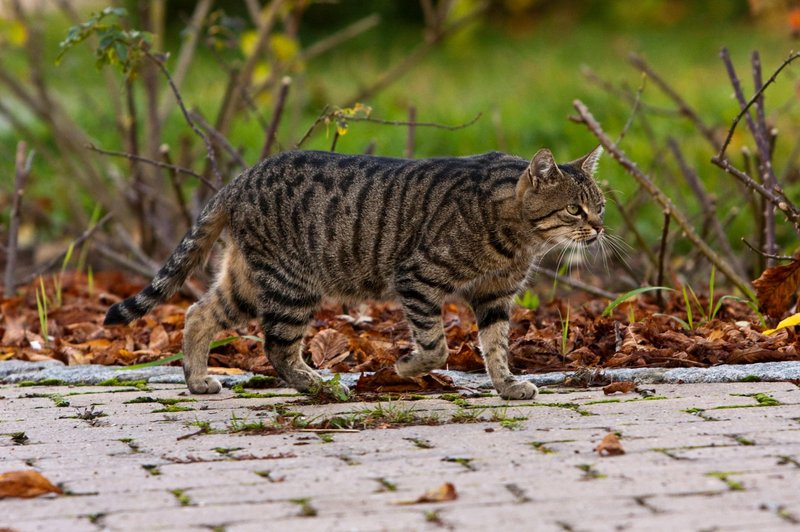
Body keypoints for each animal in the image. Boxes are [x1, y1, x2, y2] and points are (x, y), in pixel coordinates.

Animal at [108, 145, 608, 400]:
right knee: (276, 347)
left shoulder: (495, 297)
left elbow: (496, 346)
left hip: (247, 283)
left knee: (198, 313)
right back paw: (319, 387)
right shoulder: (417, 277)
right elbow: (436, 347)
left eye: (600, 206)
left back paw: (196, 380)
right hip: (292, 285)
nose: (601, 227)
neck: (519, 235)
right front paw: (405, 366)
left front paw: (506, 385)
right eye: (575, 209)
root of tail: (241, 178)